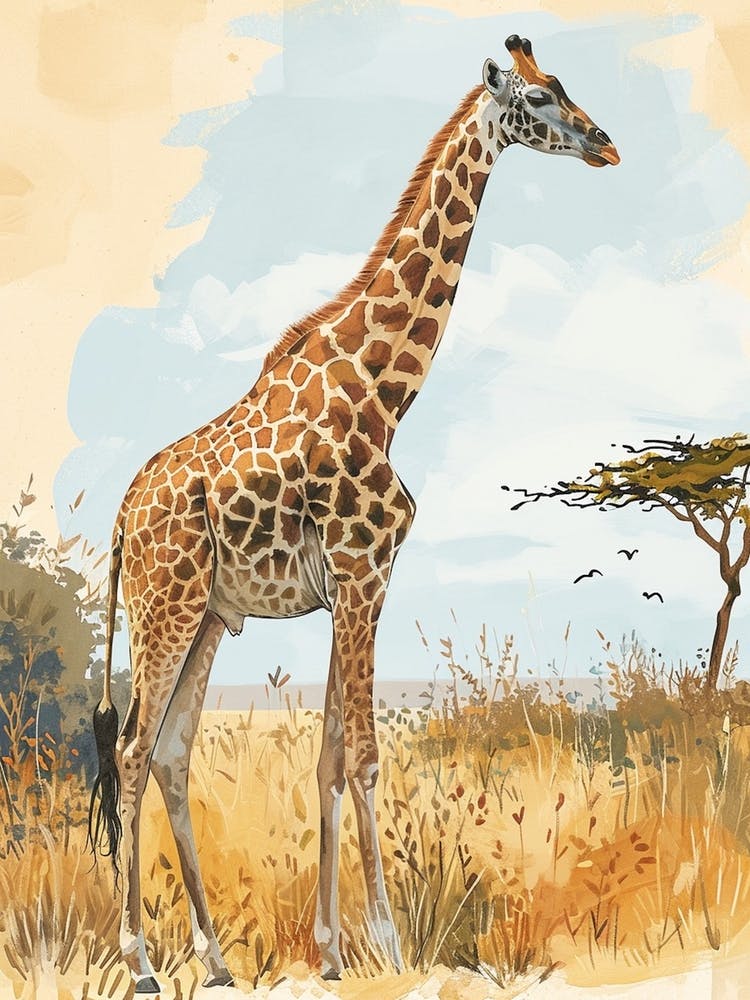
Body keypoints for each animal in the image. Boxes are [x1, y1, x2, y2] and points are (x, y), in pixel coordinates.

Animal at [88, 34, 619, 992]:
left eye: (563, 85)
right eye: (539, 97)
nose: (605, 142)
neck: (385, 390)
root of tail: (119, 521)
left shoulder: (347, 585)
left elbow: (330, 757)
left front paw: (335, 951)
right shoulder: (364, 570)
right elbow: (364, 757)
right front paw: (392, 942)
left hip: (208, 617)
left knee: (174, 754)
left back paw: (216, 961)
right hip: (165, 606)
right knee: (135, 750)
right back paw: (141, 962)